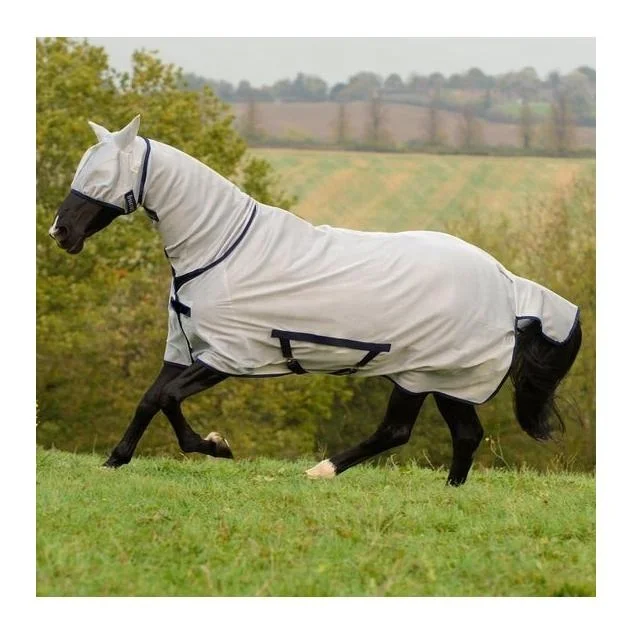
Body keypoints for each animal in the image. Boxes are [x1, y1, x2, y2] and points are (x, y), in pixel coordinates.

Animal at [48, 115, 582, 485]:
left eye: (102, 176)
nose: (60, 233)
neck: (221, 248)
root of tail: (508, 282)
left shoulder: (227, 357)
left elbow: (166, 399)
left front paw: (217, 446)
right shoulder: (183, 346)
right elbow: (149, 399)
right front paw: (115, 460)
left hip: (427, 373)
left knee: (402, 432)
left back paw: (322, 471)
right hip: (442, 379)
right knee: (458, 435)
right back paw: (442, 491)